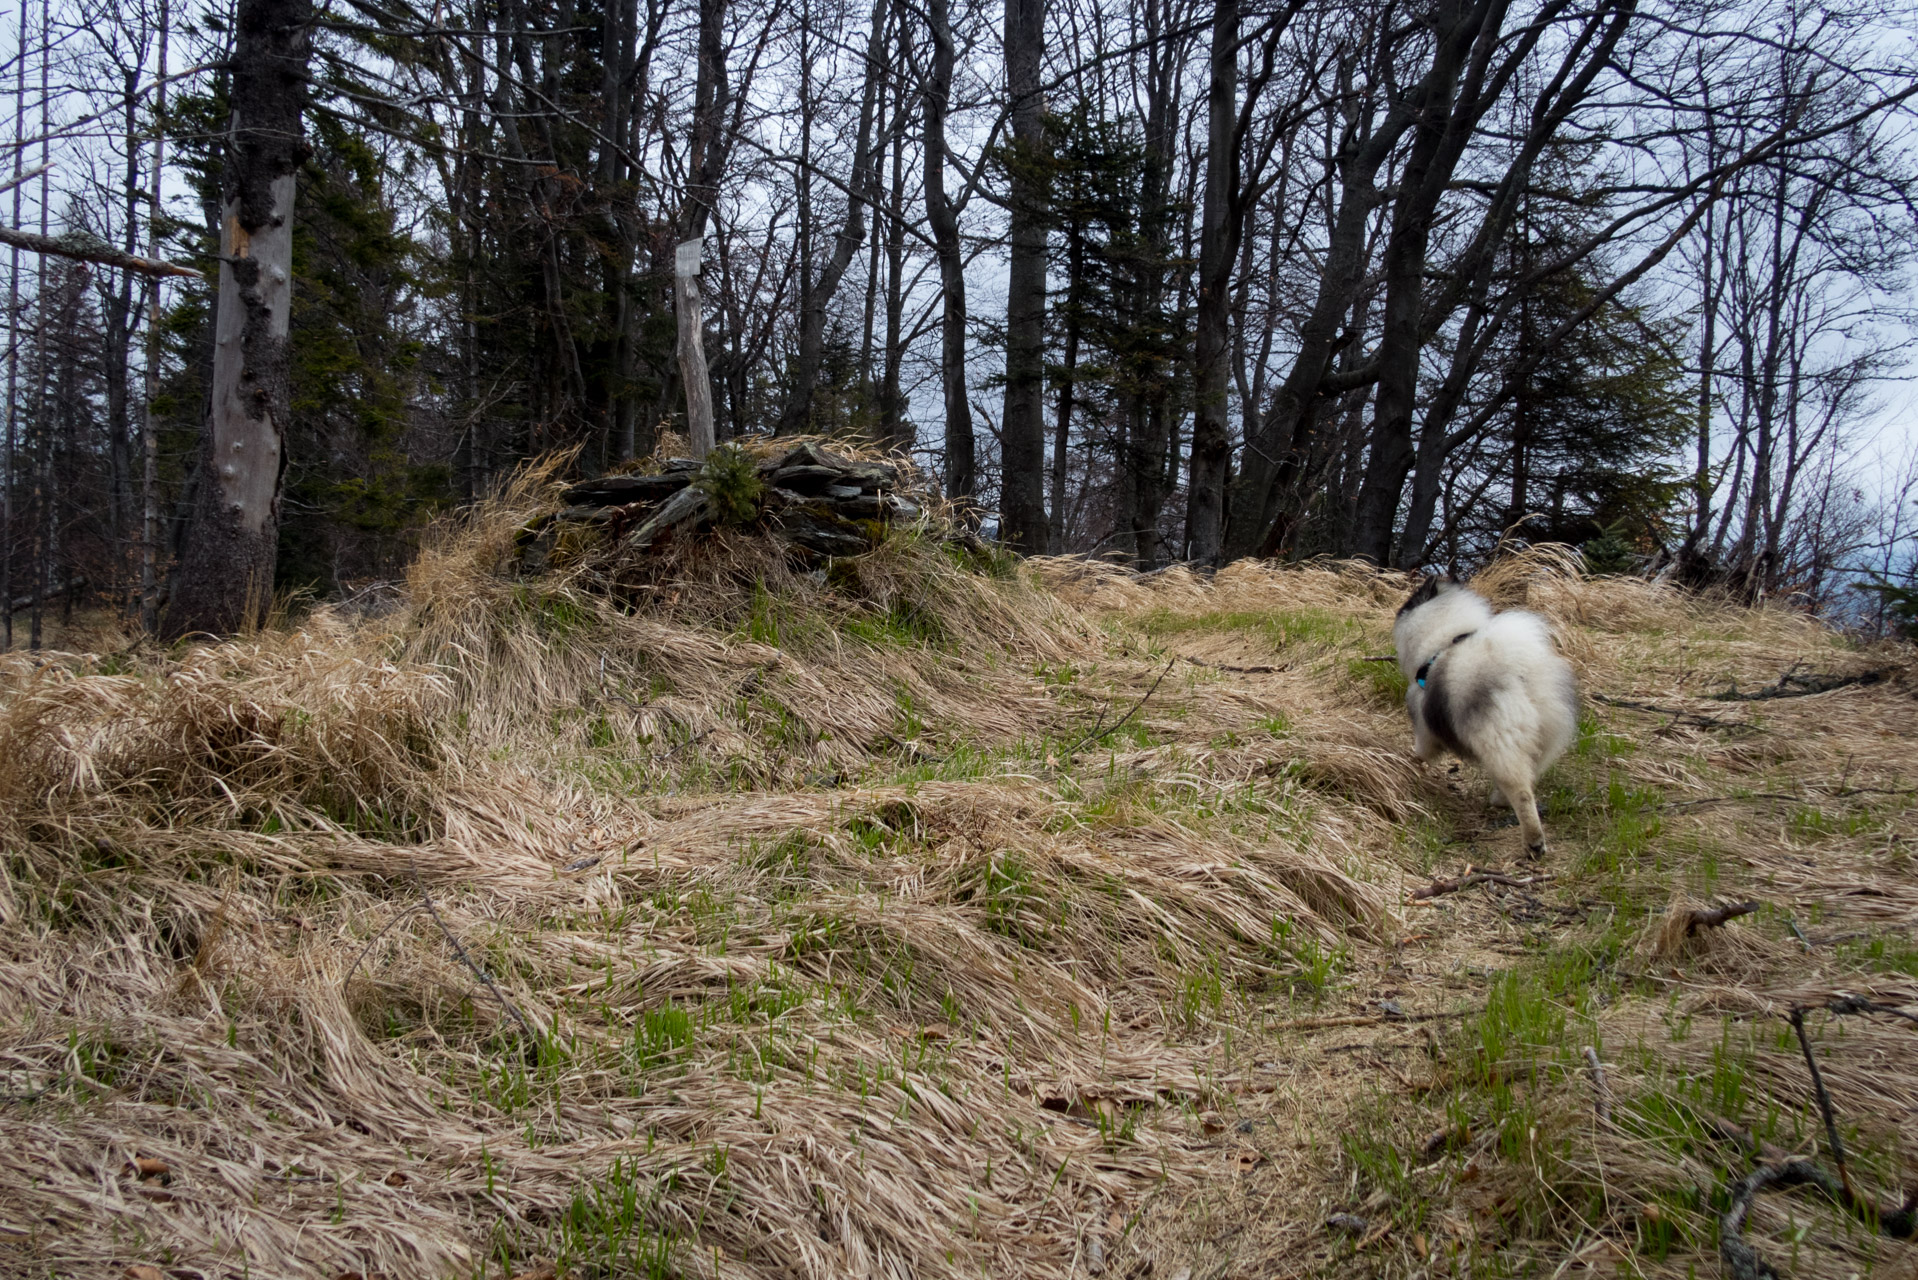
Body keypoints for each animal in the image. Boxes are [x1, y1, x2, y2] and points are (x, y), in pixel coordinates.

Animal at [1396, 575, 1572, 855]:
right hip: (1544, 740)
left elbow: (1422, 751)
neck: (1445, 640)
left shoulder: (1424, 726)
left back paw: (1533, 842)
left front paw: (1409, 762)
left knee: (1522, 792)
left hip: (1498, 738)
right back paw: (1500, 801)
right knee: (1528, 776)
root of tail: (1523, 674)